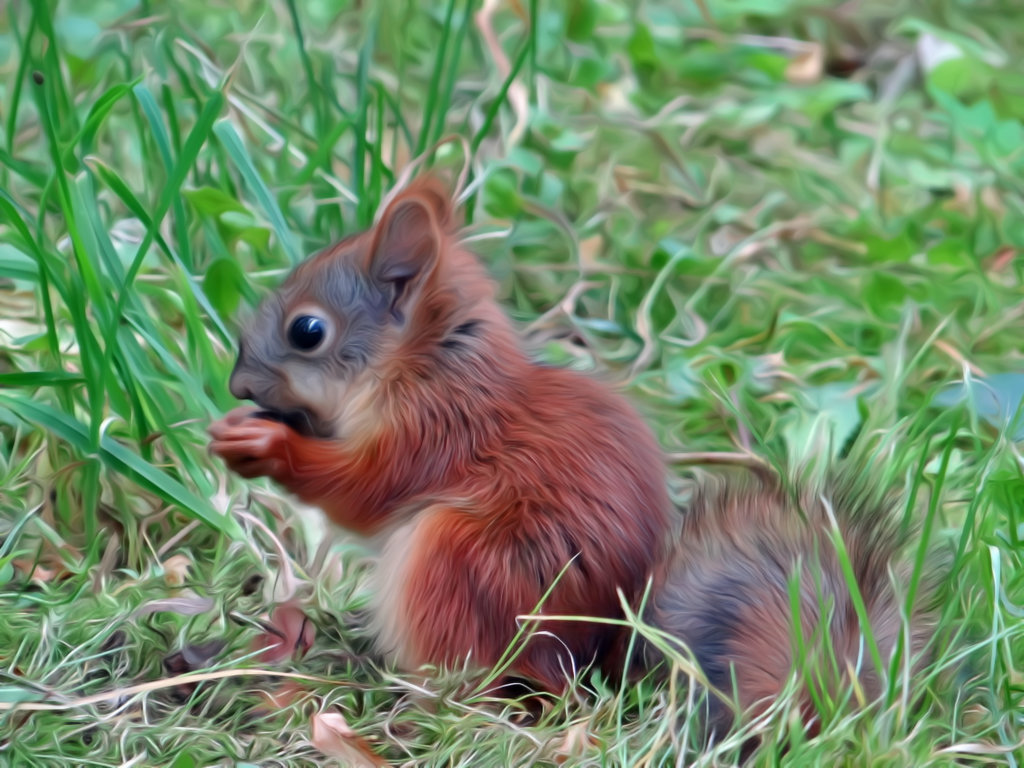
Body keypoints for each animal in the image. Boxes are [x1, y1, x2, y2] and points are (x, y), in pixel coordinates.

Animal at [209, 177, 937, 737]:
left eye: (308, 331)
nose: (238, 386)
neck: (430, 364)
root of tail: (581, 667)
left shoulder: (434, 430)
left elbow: (364, 489)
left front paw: (265, 446)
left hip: (454, 561)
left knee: (476, 690)